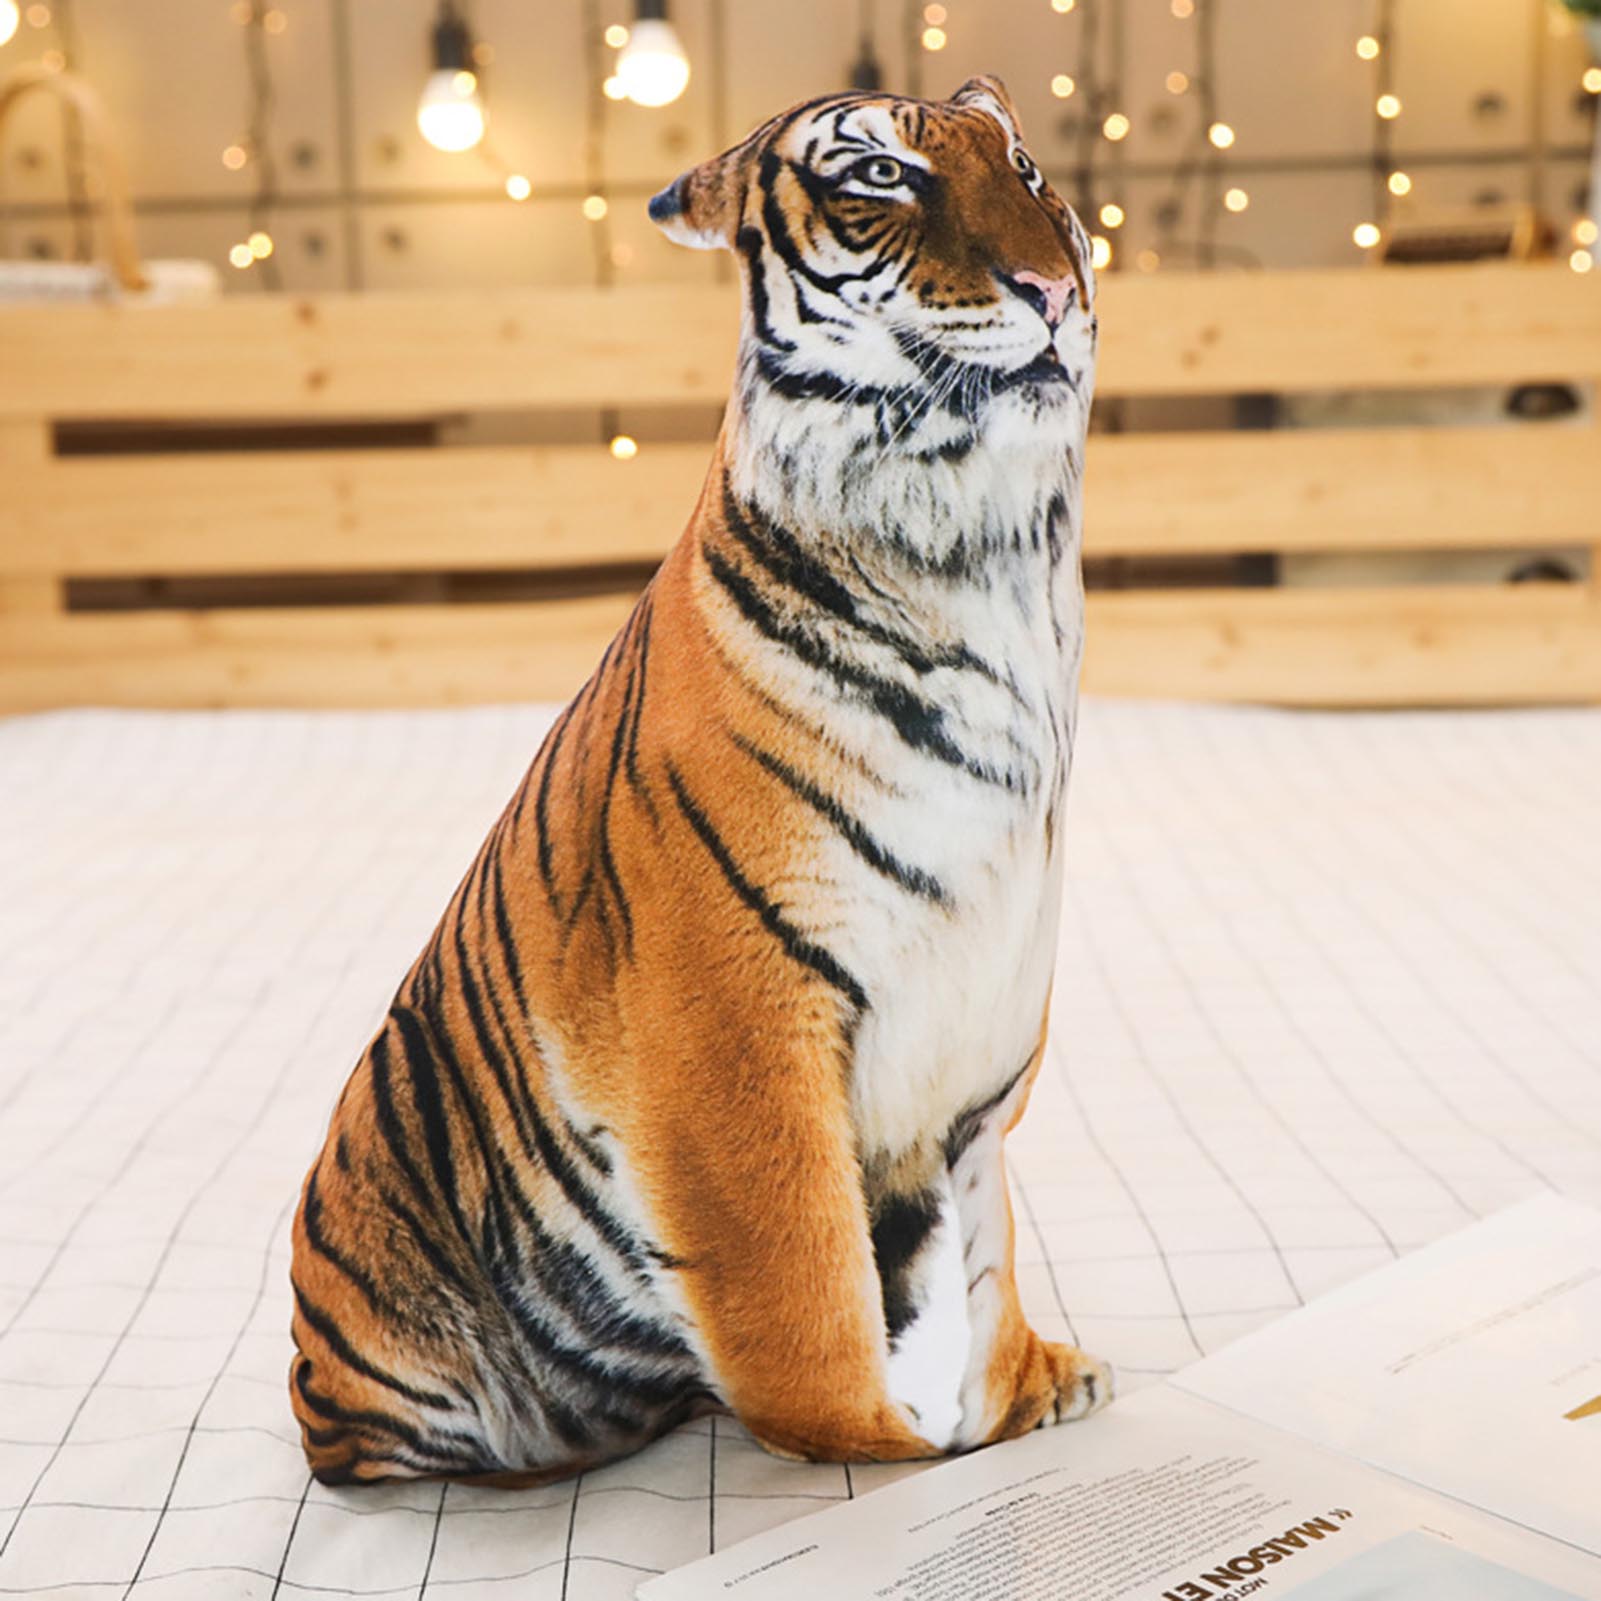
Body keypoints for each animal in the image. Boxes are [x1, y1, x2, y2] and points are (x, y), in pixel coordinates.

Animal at [288, 73, 1108, 1488]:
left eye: (1030, 175)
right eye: (879, 178)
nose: (1054, 284)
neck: (988, 554)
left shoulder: (990, 1010)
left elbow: (982, 1252)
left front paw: (1019, 1392)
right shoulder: (735, 1006)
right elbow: (800, 1275)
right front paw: (893, 1453)